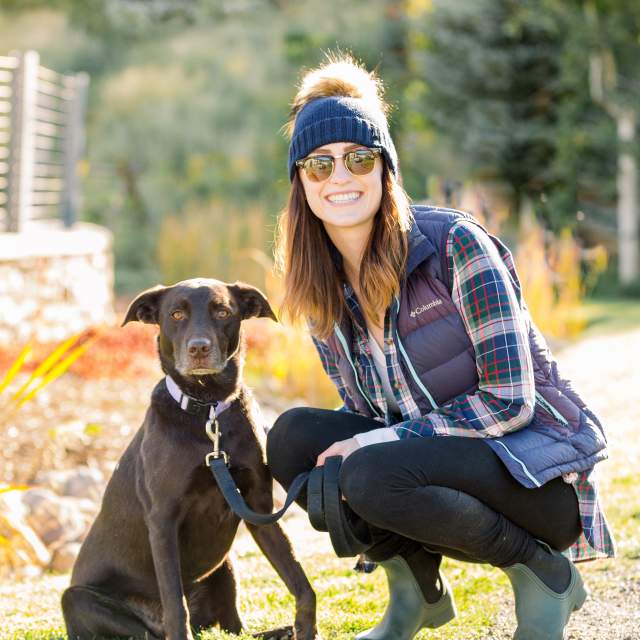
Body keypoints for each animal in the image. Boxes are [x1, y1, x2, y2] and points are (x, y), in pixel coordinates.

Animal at [62, 278, 318, 640]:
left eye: (223, 311)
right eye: (176, 314)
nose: (199, 348)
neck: (207, 410)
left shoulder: (258, 508)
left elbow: (300, 582)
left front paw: (306, 629)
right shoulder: (163, 520)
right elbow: (175, 604)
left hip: (226, 565)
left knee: (234, 630)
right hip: (77, 599)